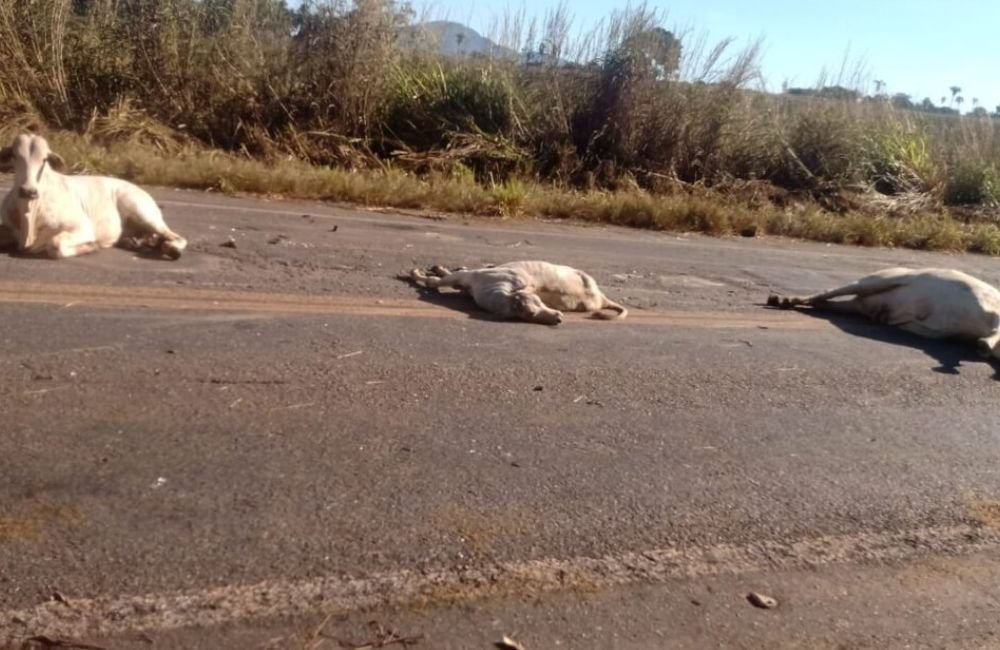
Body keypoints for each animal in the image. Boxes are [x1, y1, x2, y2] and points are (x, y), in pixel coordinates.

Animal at [0, 132, 187, 258]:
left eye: (44, 159)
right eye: (15, 156)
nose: (28, 190)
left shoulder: (82, 228)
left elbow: (55, 245)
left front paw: (92, 246)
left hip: (143, 211)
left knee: (177, 237)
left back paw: (170, 249)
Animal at [406, 260, 624, 324]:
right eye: (532, 312)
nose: (559, 318)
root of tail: (602, 298)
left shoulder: (473, 276)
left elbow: (438, 280)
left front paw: (418, 274)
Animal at [768, 268, 1000, 360]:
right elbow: (994, 332)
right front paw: (984, 345)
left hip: (860, 301)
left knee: (824, 303)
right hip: (879, 280)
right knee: (827, 292)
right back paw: (784, 300)